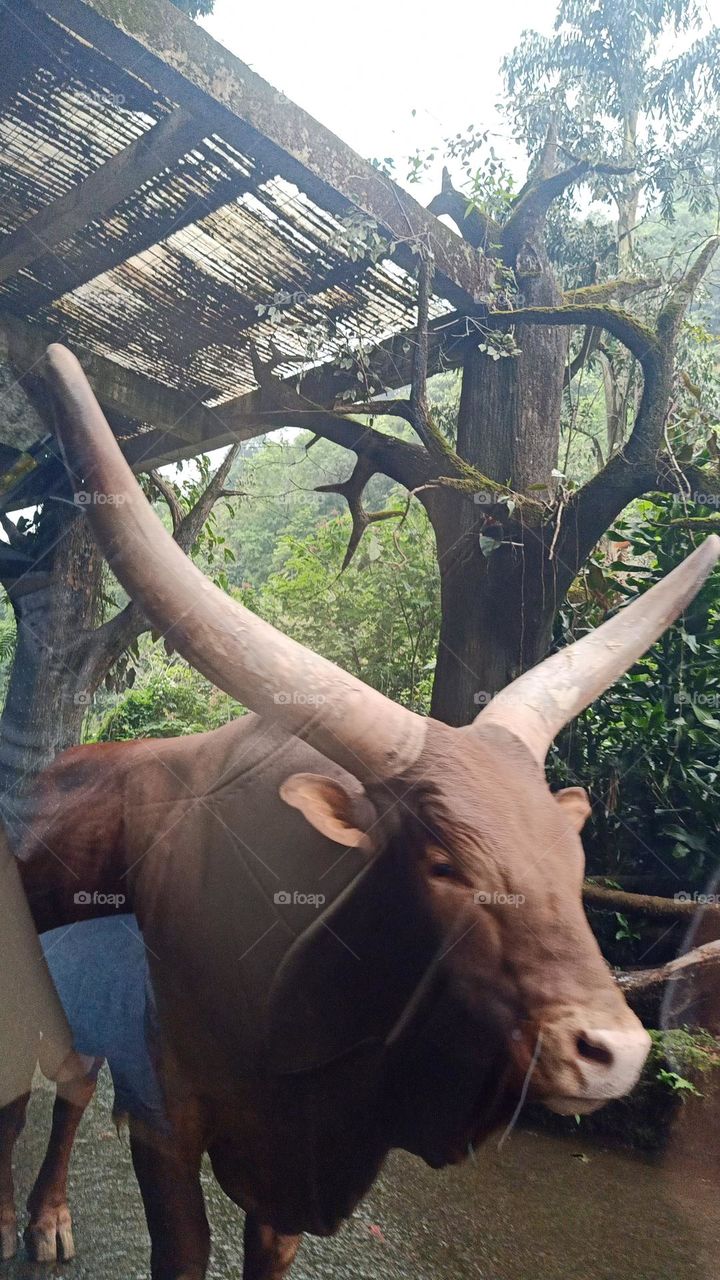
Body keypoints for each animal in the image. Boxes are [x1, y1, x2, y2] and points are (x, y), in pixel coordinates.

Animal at [2, 341, 718, 1280]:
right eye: (445, 864)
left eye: (576, 864)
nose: (613, 1052)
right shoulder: (167, 1114)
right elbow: (181, 1248)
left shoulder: (289, 1176)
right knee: (27, 1093)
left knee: (74, 1081)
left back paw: (48, 1215)